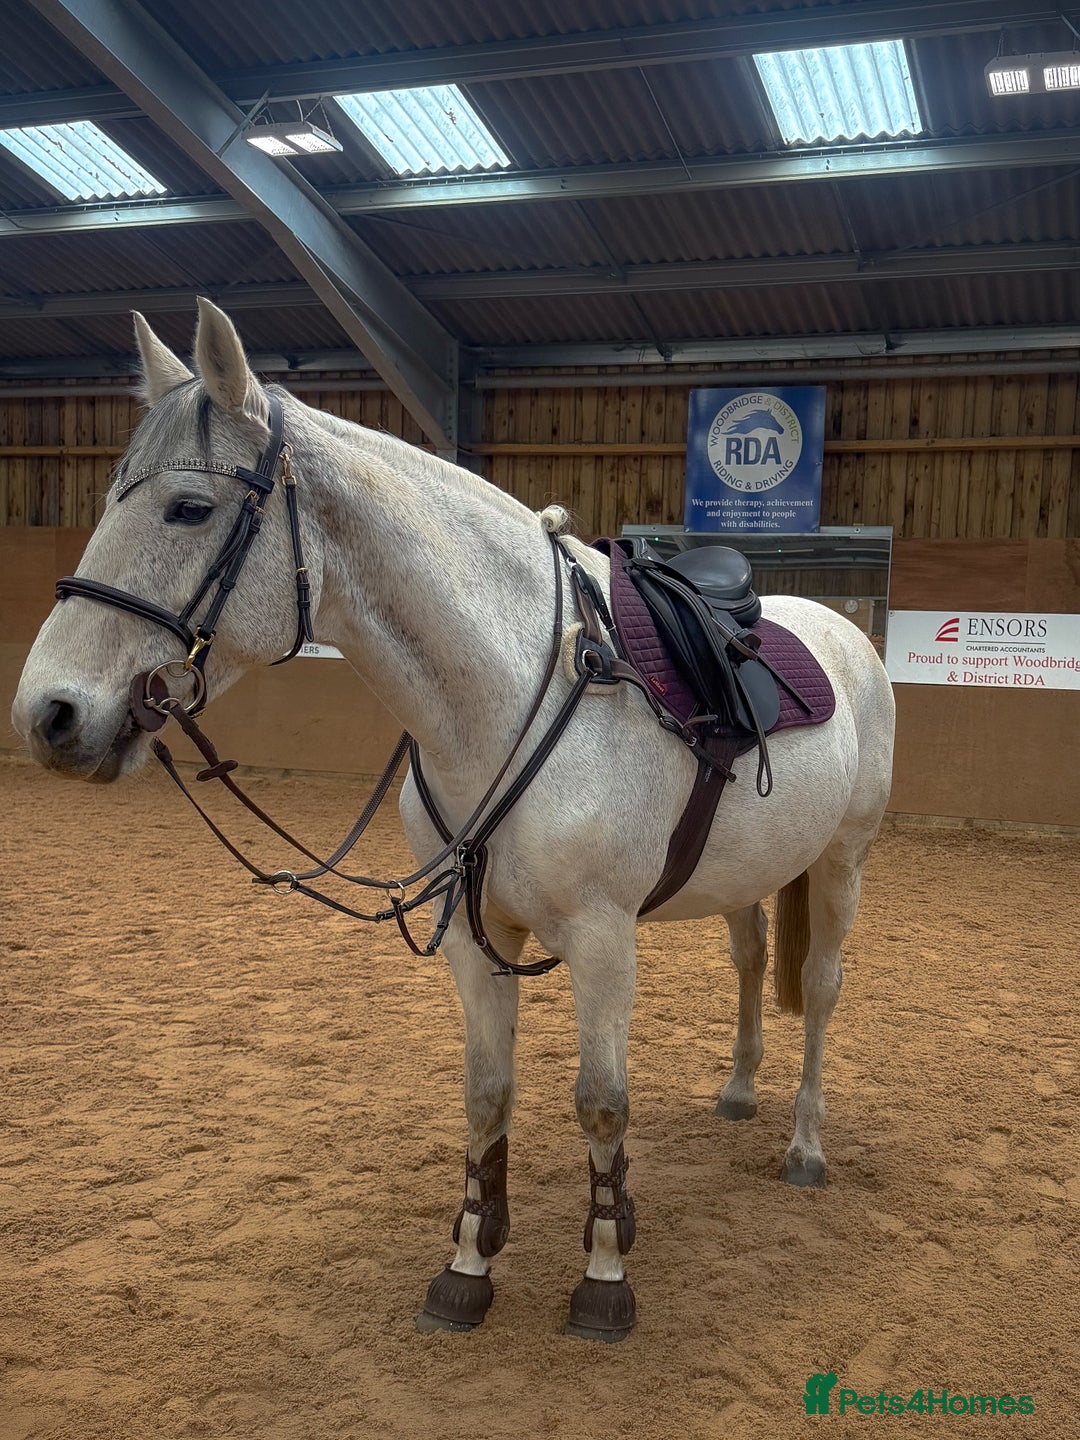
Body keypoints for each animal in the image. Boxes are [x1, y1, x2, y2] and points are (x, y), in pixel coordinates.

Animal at [13, 300, 895, 1343]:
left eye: (188, 508)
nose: (49, 714)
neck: (512, 689)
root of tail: (840, 630)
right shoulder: (477, 935)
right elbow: (485, 1093)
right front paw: (470, 1260)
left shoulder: (603, 938)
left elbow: (602, 1104)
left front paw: (605, 1277)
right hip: (748, 876)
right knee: (753, 962)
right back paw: (739, 1090)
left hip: (842, 864)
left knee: (822, 989)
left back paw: (803, 1143)